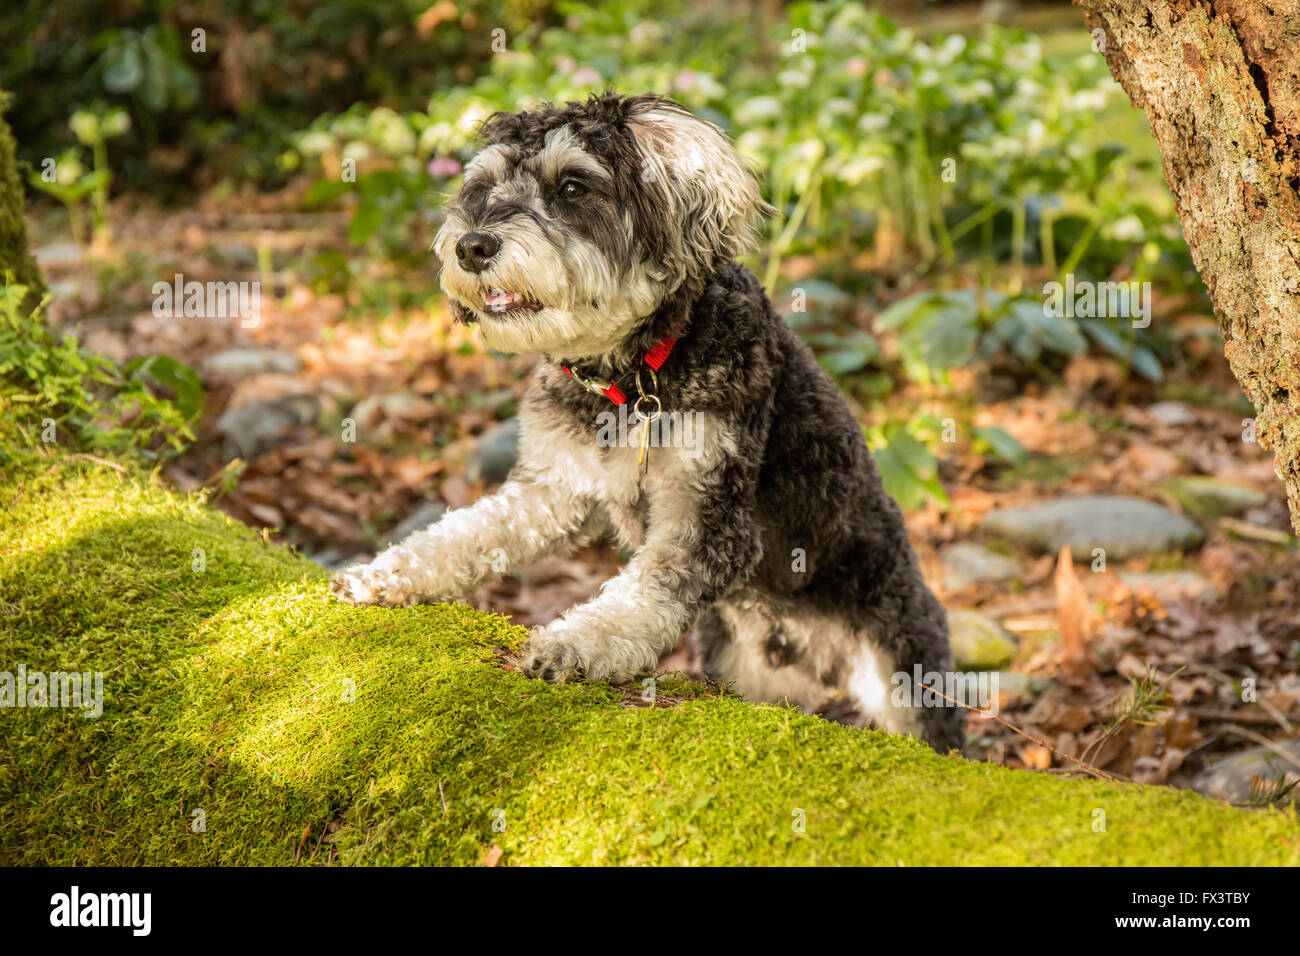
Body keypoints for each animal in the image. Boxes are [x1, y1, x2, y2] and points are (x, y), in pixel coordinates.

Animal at [330, 95, 967, 754]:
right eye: (481, 187)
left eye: (573, 186)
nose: (471, 246)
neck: (632, 378)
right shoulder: (554, 490)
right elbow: (470, 532)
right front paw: (387, 573)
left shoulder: (709, 517)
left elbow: (641, 593)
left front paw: (574, 643)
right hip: (747, 668)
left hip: (902, 670)